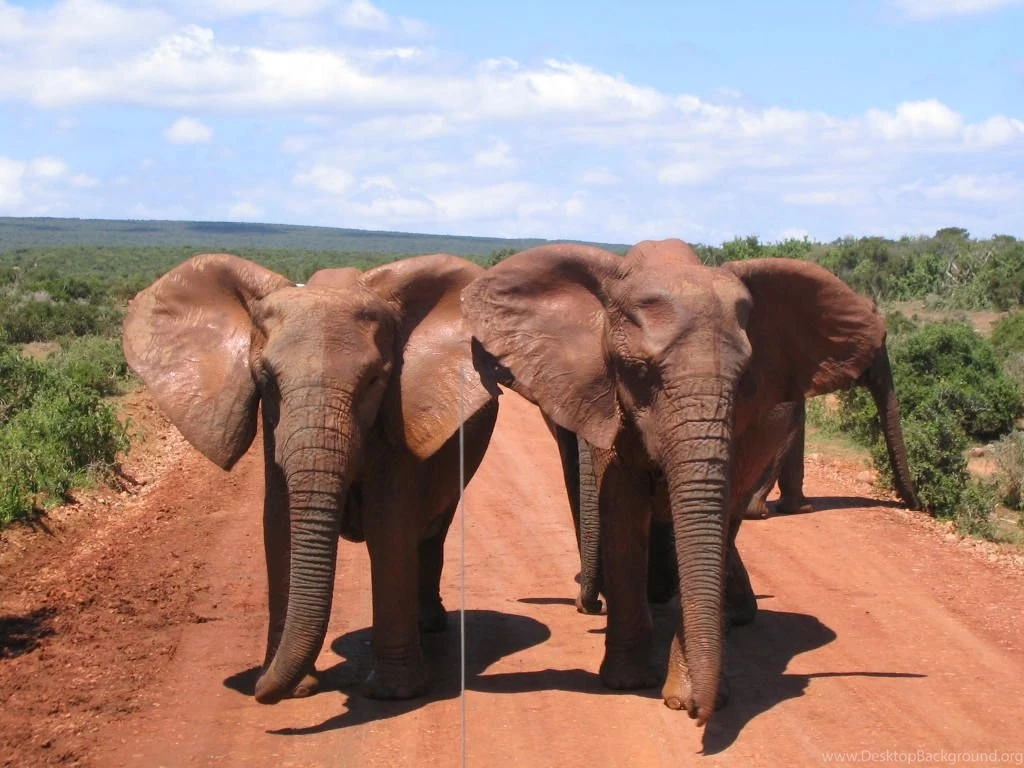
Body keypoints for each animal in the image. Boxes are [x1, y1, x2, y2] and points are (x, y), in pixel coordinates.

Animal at [123, 252, 497, 705]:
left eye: (374, 380)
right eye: (266, 378)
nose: (257, 690)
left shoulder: (399, 410)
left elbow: (390, 527)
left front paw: (394, 695)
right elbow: (279, 523)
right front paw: (298, 689)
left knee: (432, 529)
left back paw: (430, 626)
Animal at [461, 239, 903, 725]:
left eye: (745, 379)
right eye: (637, 371)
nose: (701, 714)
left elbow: (715, 510)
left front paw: (685, 694)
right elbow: (623, 509)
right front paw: (628, 682)